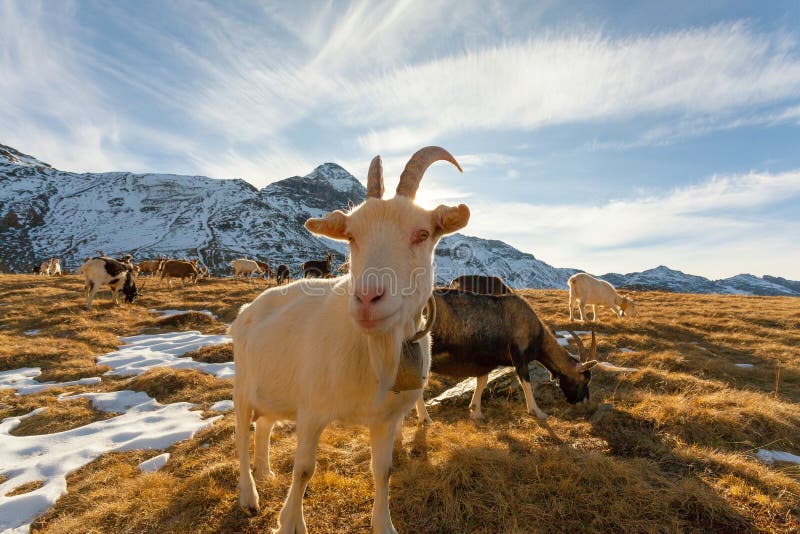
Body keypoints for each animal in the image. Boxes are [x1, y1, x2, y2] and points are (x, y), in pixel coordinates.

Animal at [228, 148, 468, 534]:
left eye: (422, 233)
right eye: (351, 236)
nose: (368, 299)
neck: (375, 349)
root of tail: (249, 309)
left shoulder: (386, 419)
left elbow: (383, 471)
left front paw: (384, 524)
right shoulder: (312, 409)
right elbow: (304, 469)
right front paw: (290, 522)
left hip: (276, 390)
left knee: (264, 426)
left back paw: (265, 472)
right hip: (243, 388)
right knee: (241, 434)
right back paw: (249, 496)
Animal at [418, 288, 600, 422]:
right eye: (585, 379)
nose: (583, 402)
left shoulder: (484, 361)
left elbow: (482, 381)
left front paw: (476, 412)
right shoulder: (519, 354)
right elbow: (526, 382)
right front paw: (537, 412)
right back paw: (425, 419)